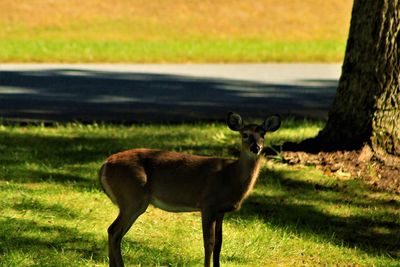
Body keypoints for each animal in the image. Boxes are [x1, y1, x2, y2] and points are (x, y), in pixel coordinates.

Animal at [99, 112, 282, 266]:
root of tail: (105, 165)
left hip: (132, 201)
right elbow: (208, 242)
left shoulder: (221, 211)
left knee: (115, 232)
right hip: (132, 197)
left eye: (263, 134)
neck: (230, 176)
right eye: (245, 134)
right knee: (114, 230)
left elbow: (219, 244)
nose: (255, 148)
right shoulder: (207, 204)